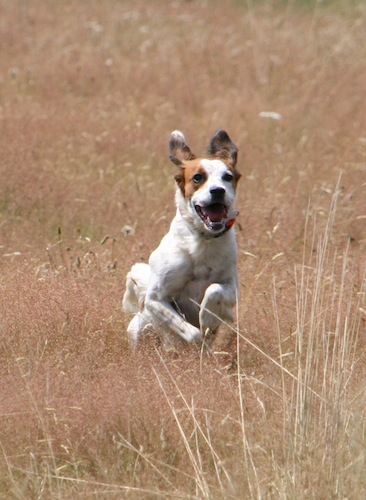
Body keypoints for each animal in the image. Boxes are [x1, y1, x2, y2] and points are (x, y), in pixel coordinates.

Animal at [123, 129, 242, 348]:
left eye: (227, 177)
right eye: (197, 177)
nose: (218, 191)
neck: (203, 241)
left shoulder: (231, 286)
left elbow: (214, 289)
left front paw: (208, 317)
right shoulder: (155, 299)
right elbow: (191, 332)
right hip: (139, 327)